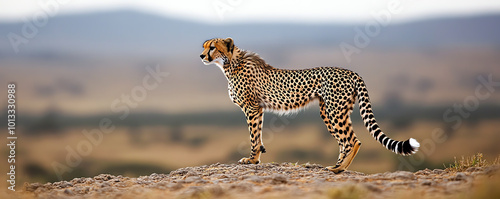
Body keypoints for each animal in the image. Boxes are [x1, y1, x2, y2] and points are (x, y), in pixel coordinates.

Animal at [199, 37, 418, 174]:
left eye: (212, 47)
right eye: (204, 46)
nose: (201, 56)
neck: (230, 64)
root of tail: (351, 71)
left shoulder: (251, 107)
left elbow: (253, 135)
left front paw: (251, 160)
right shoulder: (258, 108)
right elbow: (258, 135)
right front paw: (257, 157)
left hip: (334, 110)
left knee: (352, 140)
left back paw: (339, 168)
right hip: (330, 111)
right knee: (344, 140)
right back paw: (337, 165)